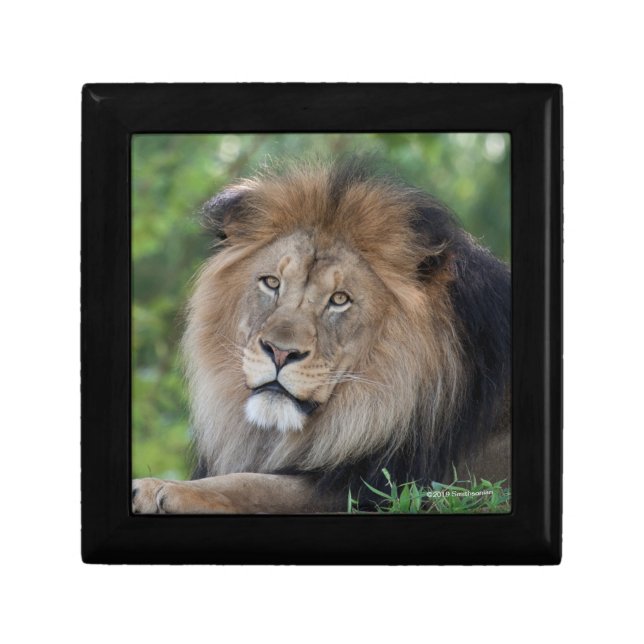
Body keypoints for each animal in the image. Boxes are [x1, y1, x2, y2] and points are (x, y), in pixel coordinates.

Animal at [132, 159, 511, 513]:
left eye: (339, 300)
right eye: (272, 282)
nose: (280, 352)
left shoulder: (378, 489)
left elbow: (254, 485)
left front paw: (160, 488)